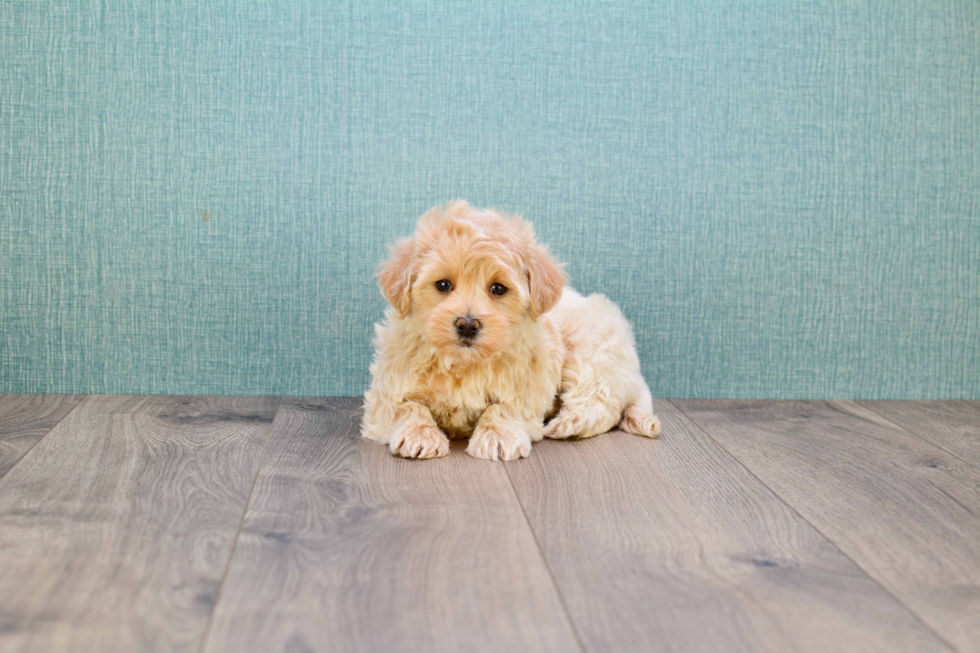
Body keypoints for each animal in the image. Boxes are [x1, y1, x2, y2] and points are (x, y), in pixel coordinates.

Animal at [360, 201, 660, 460]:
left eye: (498, 289)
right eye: (443, 285)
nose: (467, 324)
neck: (465, 364)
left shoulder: (529, 382)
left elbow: (505, 407)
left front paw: (497, 437)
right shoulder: (386, 390)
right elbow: (408, 407)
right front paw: (419, 435)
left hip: (591, 348)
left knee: (602, 401)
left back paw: (569, 423)